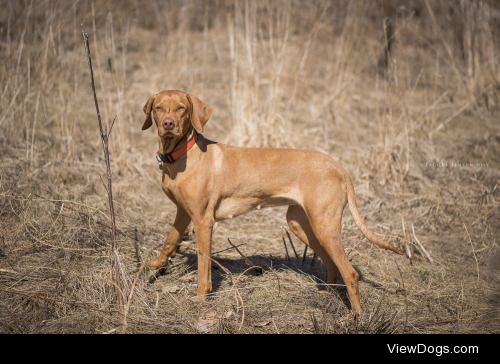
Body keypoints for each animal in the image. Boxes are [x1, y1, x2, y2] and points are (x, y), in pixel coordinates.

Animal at [142, 89, 402, 316]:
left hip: (324, 226)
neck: (181, 155)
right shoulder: (183, 213)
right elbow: (170, 240)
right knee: (331, 264)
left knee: (350, 272)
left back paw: (355, 317)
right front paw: (156, 263)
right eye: (158, 108)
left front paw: (200, 298)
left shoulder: (203, 221)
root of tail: (339, 167)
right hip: (301, 223)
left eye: (181, 108)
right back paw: (325, 295)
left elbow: (203, 266)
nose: (168, 124)